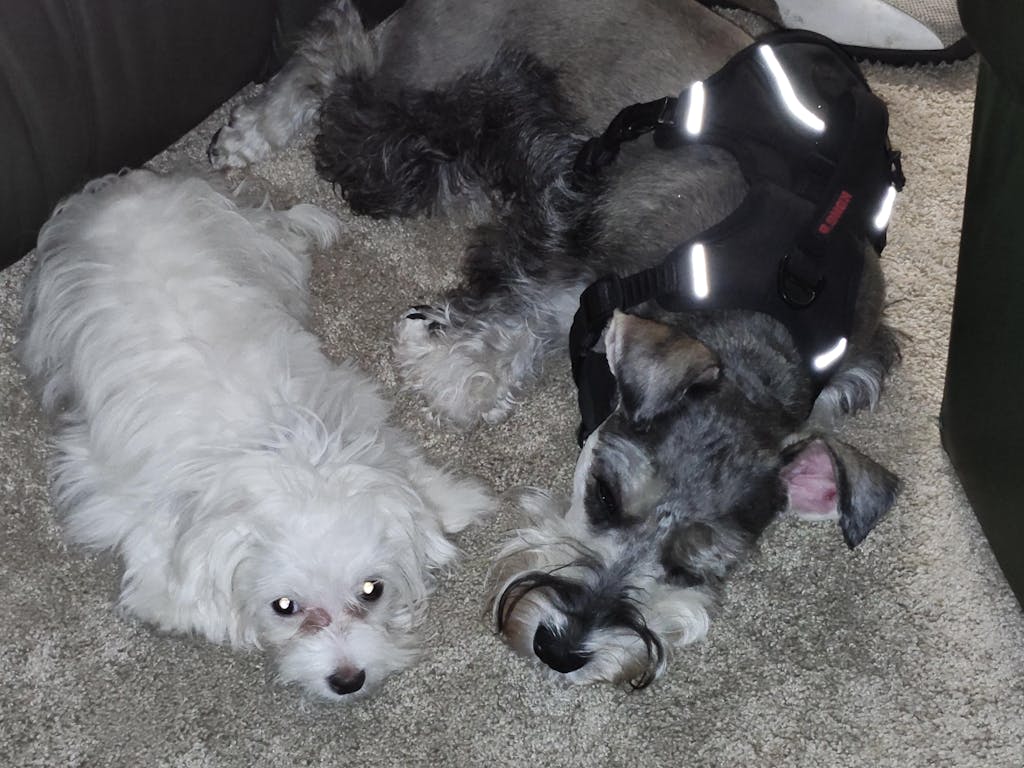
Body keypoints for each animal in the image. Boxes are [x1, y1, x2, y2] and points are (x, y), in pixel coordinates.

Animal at [18, 169, 495, 700]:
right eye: (284, 606)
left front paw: (449, 501)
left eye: (372, 590)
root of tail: (129, 189)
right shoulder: (113, 491)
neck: (277, 452)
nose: (348, 680)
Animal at [208, 0, 901, 688]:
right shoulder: (573, 273)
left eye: (700, 566)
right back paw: (252, 128)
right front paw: (442, 359)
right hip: (423, 120)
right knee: (338, 51)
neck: (761, 316)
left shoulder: (853, 370)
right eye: (603, 495)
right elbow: (501, 337)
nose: (562, 649)